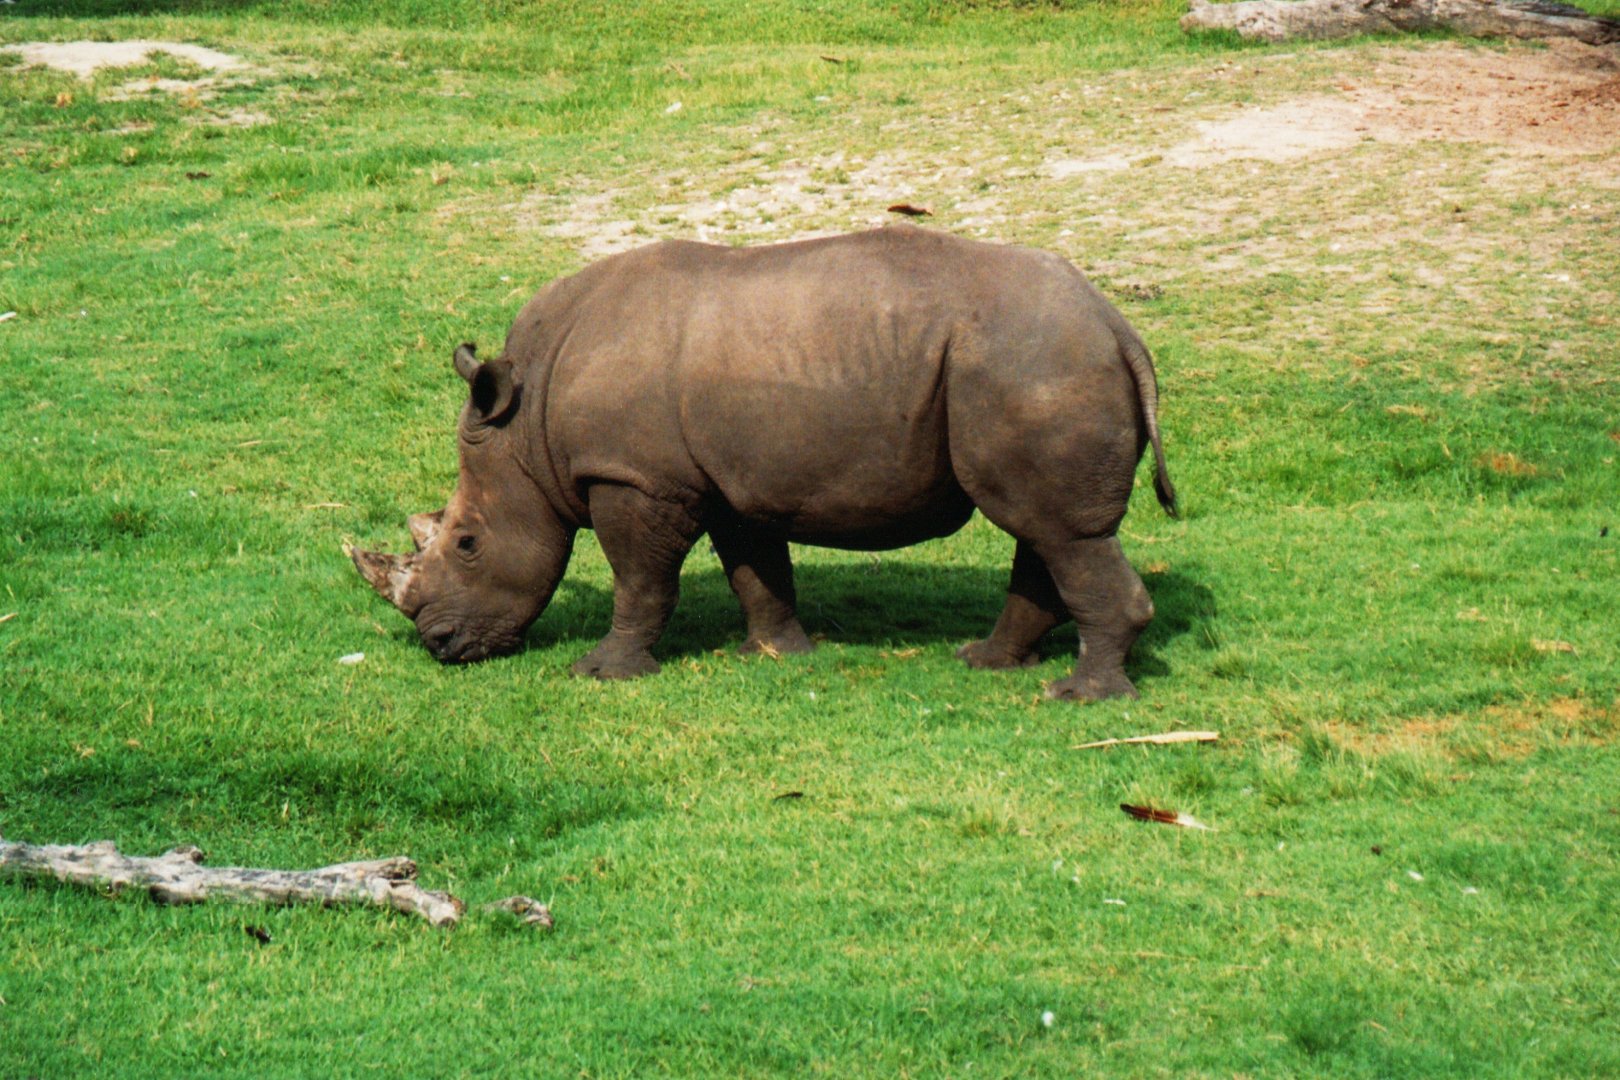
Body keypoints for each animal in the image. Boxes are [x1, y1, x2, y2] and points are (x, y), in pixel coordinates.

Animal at [352, 225, 1178, 701]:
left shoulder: (633, 476)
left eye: (467, 543)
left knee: (1060, 532)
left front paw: (603, 673)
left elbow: (640, 581)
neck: (527, 424)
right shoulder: (721, 480)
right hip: (1032, 365)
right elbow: (755, 567)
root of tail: (1117, 326)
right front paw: (777, 652)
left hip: (1032, 366)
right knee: (1043, 528)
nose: (439, 647)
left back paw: (1082, 696)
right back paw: (984, 662)